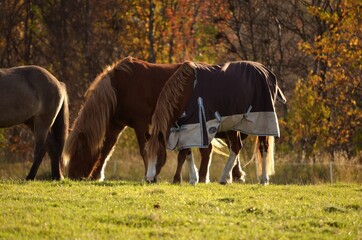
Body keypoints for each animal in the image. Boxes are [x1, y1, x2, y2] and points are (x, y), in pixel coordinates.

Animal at [63, 56, 246, 184]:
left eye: (78, 151)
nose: (72, 176)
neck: (119, 87)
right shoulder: (116, 125)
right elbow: (107, 149)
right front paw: (96, 175)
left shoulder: (140, 123)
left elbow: (143, 149)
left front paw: (148, 175)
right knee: (212, 148)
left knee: (226, 146)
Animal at [144, 60, 286, 184]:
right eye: (146, 154)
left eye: (160, 154)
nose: (149, 179)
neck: (187, 91)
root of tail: (265, 70)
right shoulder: (184, 128)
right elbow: (187, 153)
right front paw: (193, 178)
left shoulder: (195, 128)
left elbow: (184, 154)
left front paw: (184, 179)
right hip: (232, 123)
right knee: (236, 147)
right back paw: (225, 178)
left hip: (263, 121)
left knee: (263, 148)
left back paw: (262, 180)